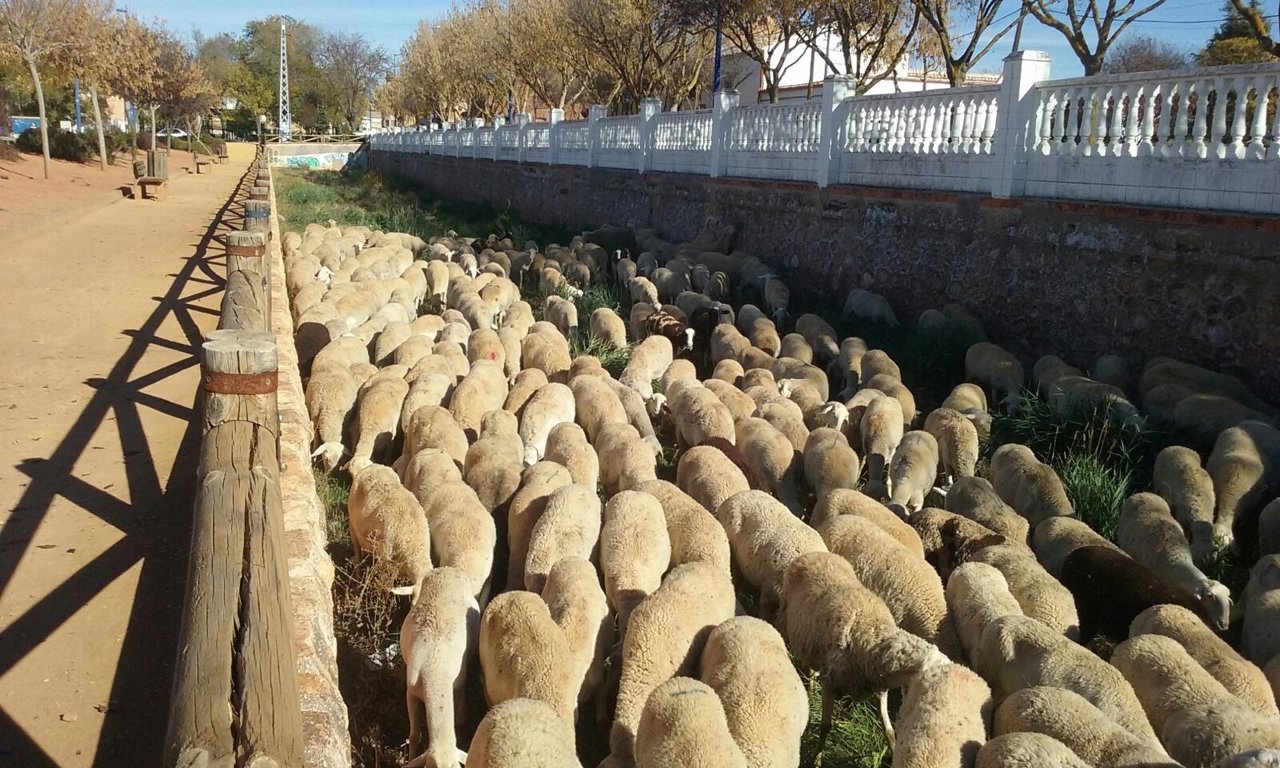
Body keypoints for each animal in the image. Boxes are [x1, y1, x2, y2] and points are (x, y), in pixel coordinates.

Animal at [400, 567, 479, 768]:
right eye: (430, 766)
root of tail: (448, 569)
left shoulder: (456, 688)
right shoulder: (410, 692)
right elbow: (415, 735)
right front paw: (410, 757)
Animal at [778, 552, 950, 746]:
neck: (873, 638)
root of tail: (814, 554)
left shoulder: (878, 689)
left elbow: (888, 732)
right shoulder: (829, 683)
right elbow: (825, 728)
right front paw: (816, 754)